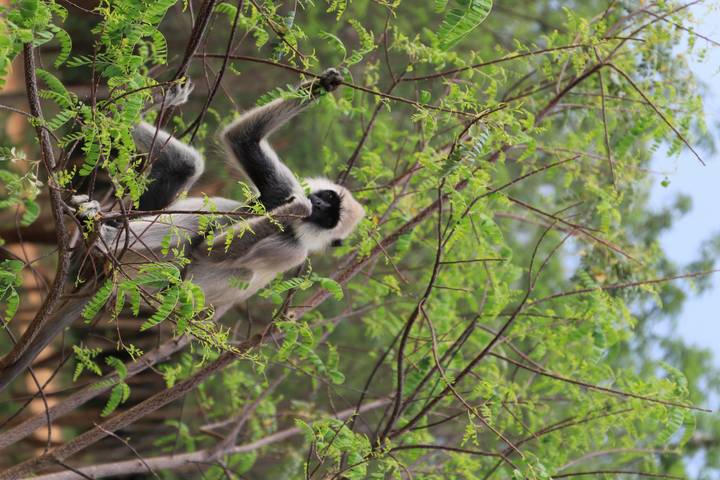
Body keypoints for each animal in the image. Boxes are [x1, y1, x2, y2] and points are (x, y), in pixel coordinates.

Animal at [0, 68, 364, 392]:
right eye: (327, 200)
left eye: (329, 216)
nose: (317, 205)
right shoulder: (284, 189)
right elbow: (241, 139)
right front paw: (324, 84)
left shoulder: (293, 250)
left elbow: (207, 249)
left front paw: (296, 210)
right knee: (188, 167)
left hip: (149, 275)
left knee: (200, 242)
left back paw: (102, 238)